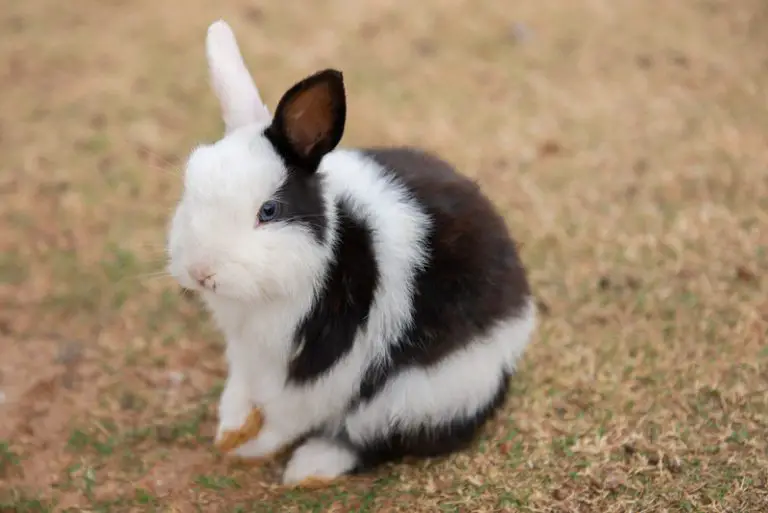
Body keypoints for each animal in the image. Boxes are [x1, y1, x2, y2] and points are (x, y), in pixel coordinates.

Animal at [166, 19, 537, 486]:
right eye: (190, 181)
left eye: (269, 211)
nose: (201, 272)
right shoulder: (247, 353)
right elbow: (241, 390)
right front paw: (229, 430)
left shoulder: (324, 373)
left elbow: (287, 418)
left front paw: (251, 449)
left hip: (422, 395)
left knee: (374, 440)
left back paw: (310, 468)